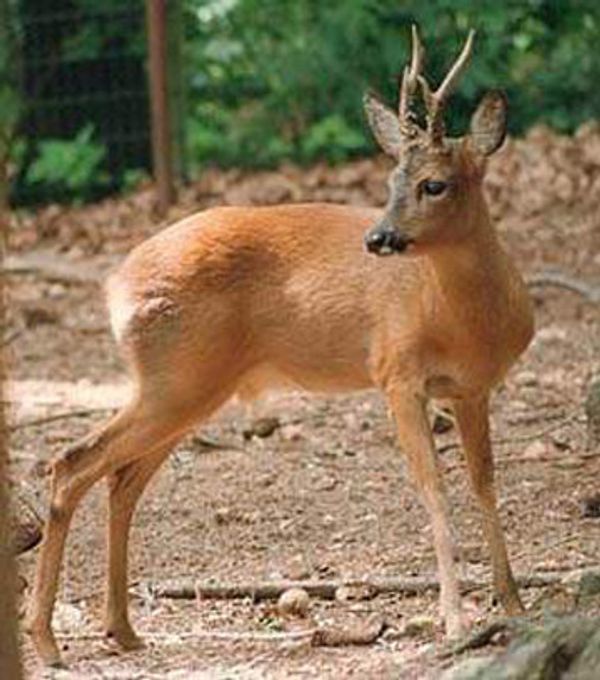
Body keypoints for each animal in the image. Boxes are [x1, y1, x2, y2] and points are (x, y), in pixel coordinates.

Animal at [27, 27, 533, 667]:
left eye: (433, 184)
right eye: (390, 183)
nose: (379, 238)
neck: (464, 321)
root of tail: (115, 284)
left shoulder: (473, 390)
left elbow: (485, 485)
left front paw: (514, 604)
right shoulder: (396, 374)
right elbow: (434, 489)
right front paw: (454, 619)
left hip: (187, 390)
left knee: (121, 480)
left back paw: (121, 629)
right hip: (177, 380)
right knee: (73, 462)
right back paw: (46, 639)